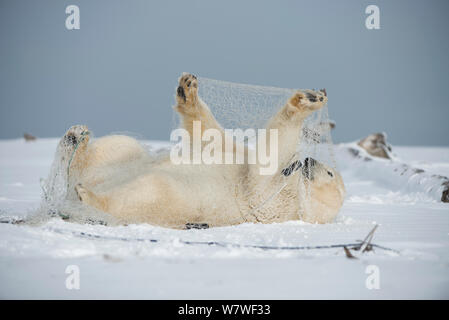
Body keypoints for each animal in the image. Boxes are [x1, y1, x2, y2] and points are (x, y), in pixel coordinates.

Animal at [53, 73, 346, 228]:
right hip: (121, 159)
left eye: (330, 174)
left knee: (147, 192)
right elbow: (216, 140)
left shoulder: (275, 205)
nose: (307, 160)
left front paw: (308, 100)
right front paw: (188, 89)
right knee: (121, 146)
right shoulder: (242, 158)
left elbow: (262, 174)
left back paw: (87, 195)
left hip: (173, 202)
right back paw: (75, 138)